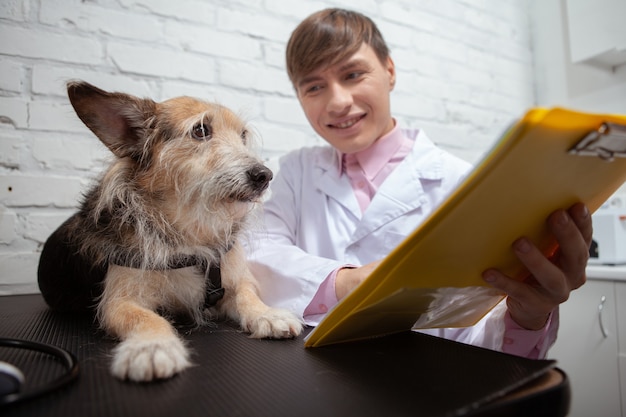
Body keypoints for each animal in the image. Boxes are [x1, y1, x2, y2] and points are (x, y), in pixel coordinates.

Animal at [37, 80, 304, 380]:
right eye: (200, 130)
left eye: (243, 135)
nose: (264, 176)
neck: (190, 230)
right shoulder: (119, 301)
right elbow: (146, 318)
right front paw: (152, 347)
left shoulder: (235, 280)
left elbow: (248, 295)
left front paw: (268, 314)